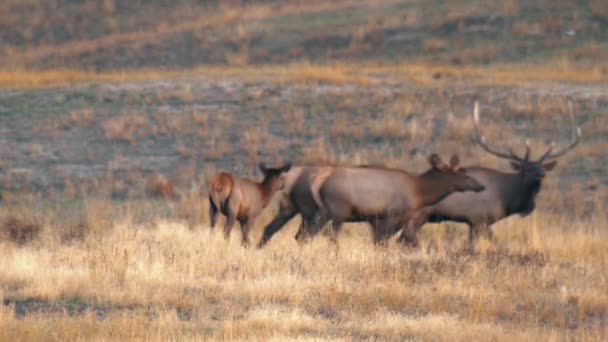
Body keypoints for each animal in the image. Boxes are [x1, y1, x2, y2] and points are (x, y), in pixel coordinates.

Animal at [418, 101, 580, 246]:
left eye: (542, 167)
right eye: (525, 169)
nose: (541, 174)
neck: (509, 198)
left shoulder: (476, 222)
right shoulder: (478, 220)